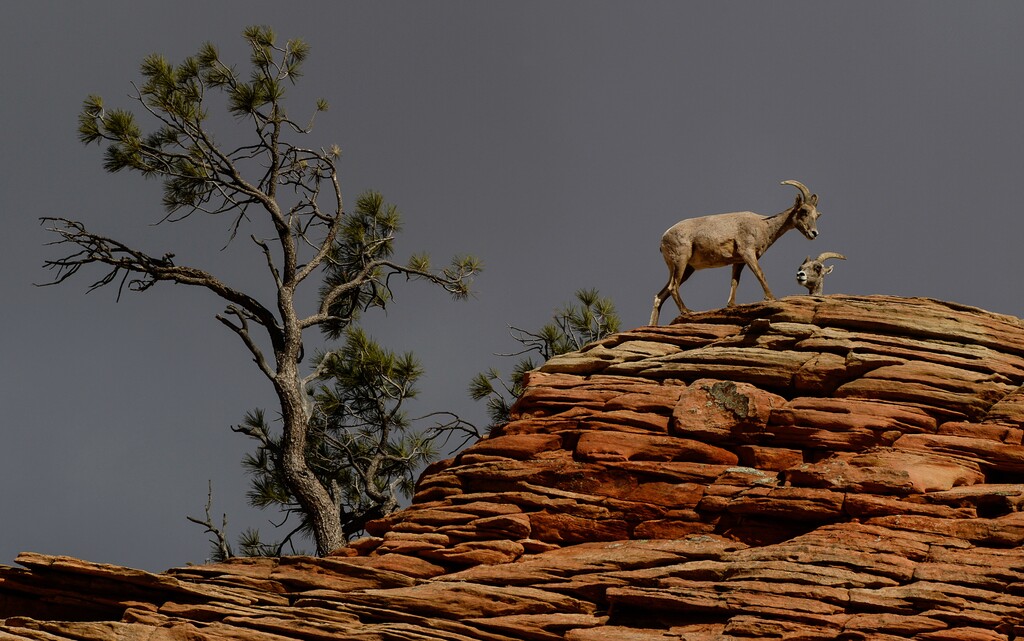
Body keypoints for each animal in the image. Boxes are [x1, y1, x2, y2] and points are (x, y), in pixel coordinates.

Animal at [649, 180, 824, 325]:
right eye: (803, 211)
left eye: (817, 215)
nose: (814, 233)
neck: (763, 226)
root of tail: (664, 238)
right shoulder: (748, 254)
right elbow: (760, 274)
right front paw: (771, 298)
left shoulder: (738, 262)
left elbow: (734, 282)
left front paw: (731, 305)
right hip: (681, 262)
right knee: (672, 287)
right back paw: (687, 311)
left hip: (686, 269)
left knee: (660, 296)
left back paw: (654, 325)